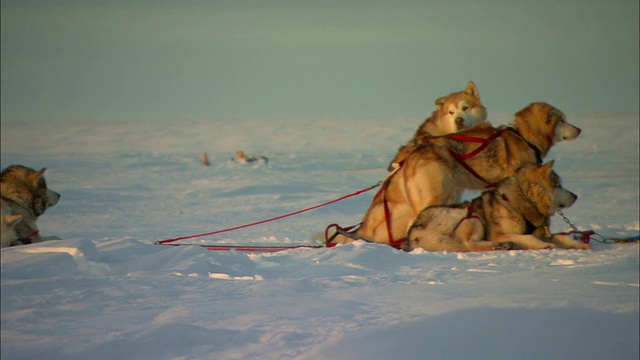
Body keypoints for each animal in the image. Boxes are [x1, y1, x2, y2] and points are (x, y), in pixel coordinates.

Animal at [332, 102, 584, 246]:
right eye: (563, 120)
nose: (579, 129)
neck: (523, 137)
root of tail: (414, 151)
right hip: (434, 197)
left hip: (447, 196)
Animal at [404, 162, 592, 252]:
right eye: (558, 186)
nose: (576, 196)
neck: (521, 203)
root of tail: (415, 228)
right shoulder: (499, 233)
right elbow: (530, 238)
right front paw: (543, 246)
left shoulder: (543, 233)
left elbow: (561, 238)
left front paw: (580, 245)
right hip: (472, 217)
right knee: (470, 244)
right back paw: (501, 245)